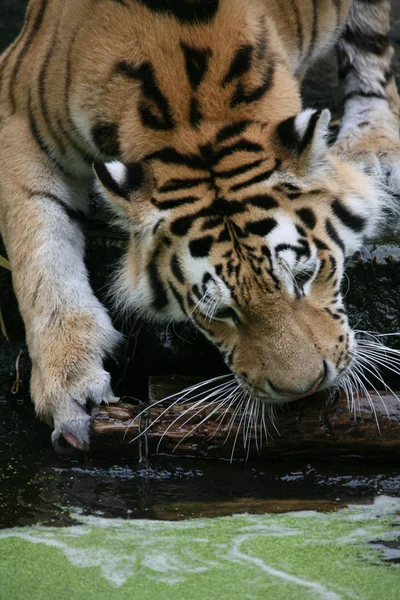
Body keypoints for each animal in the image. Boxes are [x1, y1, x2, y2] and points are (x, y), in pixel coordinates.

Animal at [0, 0, 398, 450]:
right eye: (221, 312)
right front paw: (71, 388)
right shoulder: (19, 113)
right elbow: (40, 256)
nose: (305, 390)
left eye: (305, 275)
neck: (195, 113)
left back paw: (372, 147)